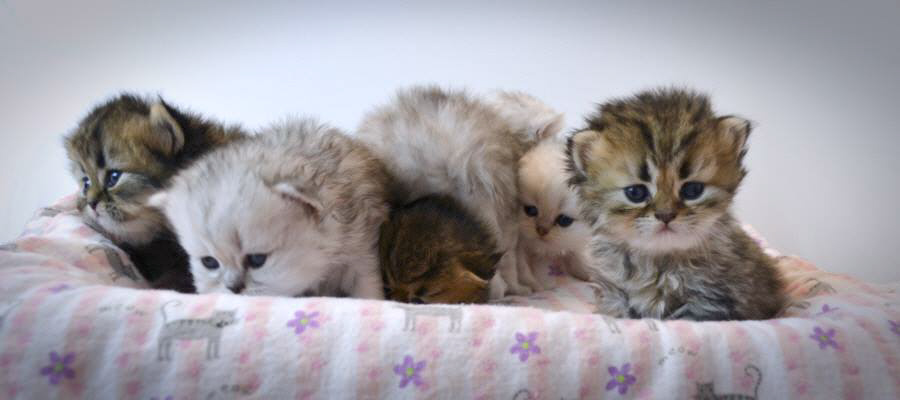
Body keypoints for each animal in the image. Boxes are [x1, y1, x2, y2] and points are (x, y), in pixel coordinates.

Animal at [516, 139, 596, 290]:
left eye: (564, 220)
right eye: (530, 210)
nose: (541, 230)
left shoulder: (576, 238)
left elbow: (577, 254)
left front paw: (588, 273)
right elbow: (524, 271)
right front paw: (536, 287)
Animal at [568, 89, 784, 320]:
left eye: (692, 190)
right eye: (636, 193)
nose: (666, 215)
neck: (658, 261)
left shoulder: (710, 301)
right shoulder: (613, 292)